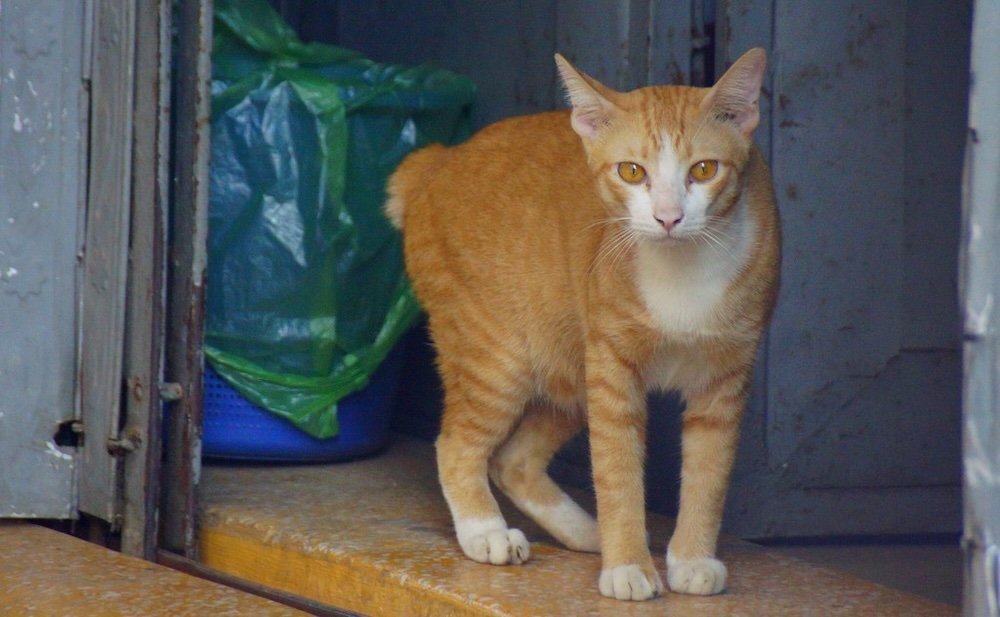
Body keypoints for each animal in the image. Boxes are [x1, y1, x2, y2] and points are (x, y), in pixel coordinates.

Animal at [386, 49, 776, 600]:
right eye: (631, 172)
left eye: (704, 170)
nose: (668, 217)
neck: (682, 269)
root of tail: (436, 161)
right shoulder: (612, 372)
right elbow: (617, 474)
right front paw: (628, 565)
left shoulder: (725, 379)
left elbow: (708, 473)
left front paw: (691, 558)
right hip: (499, 360)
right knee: (457, 444)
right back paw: (486, 532)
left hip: (569, 369)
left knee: (513, 461)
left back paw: (588, 534)